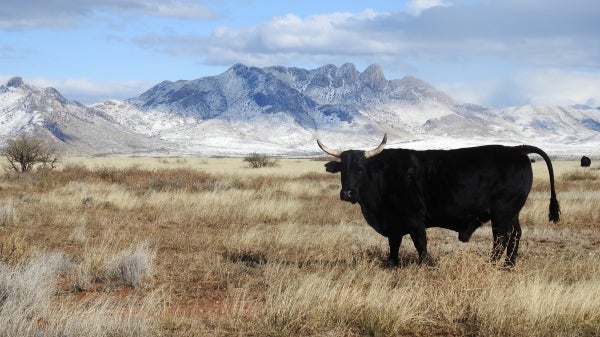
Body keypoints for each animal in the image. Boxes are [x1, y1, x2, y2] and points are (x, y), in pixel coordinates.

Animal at [316, 133, 560, 266]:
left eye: (360, 169)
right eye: (342, 170)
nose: (347, 193)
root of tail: (517, 150)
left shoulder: (414, 216)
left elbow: (420, 242)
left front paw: (425, 264)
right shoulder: (394, 222)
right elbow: (394, 243)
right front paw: (392, 263)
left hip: (502, 213)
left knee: (501, 238)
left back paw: (492, 265)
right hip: (512, 213)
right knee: (515, 236)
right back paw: (508, 266)